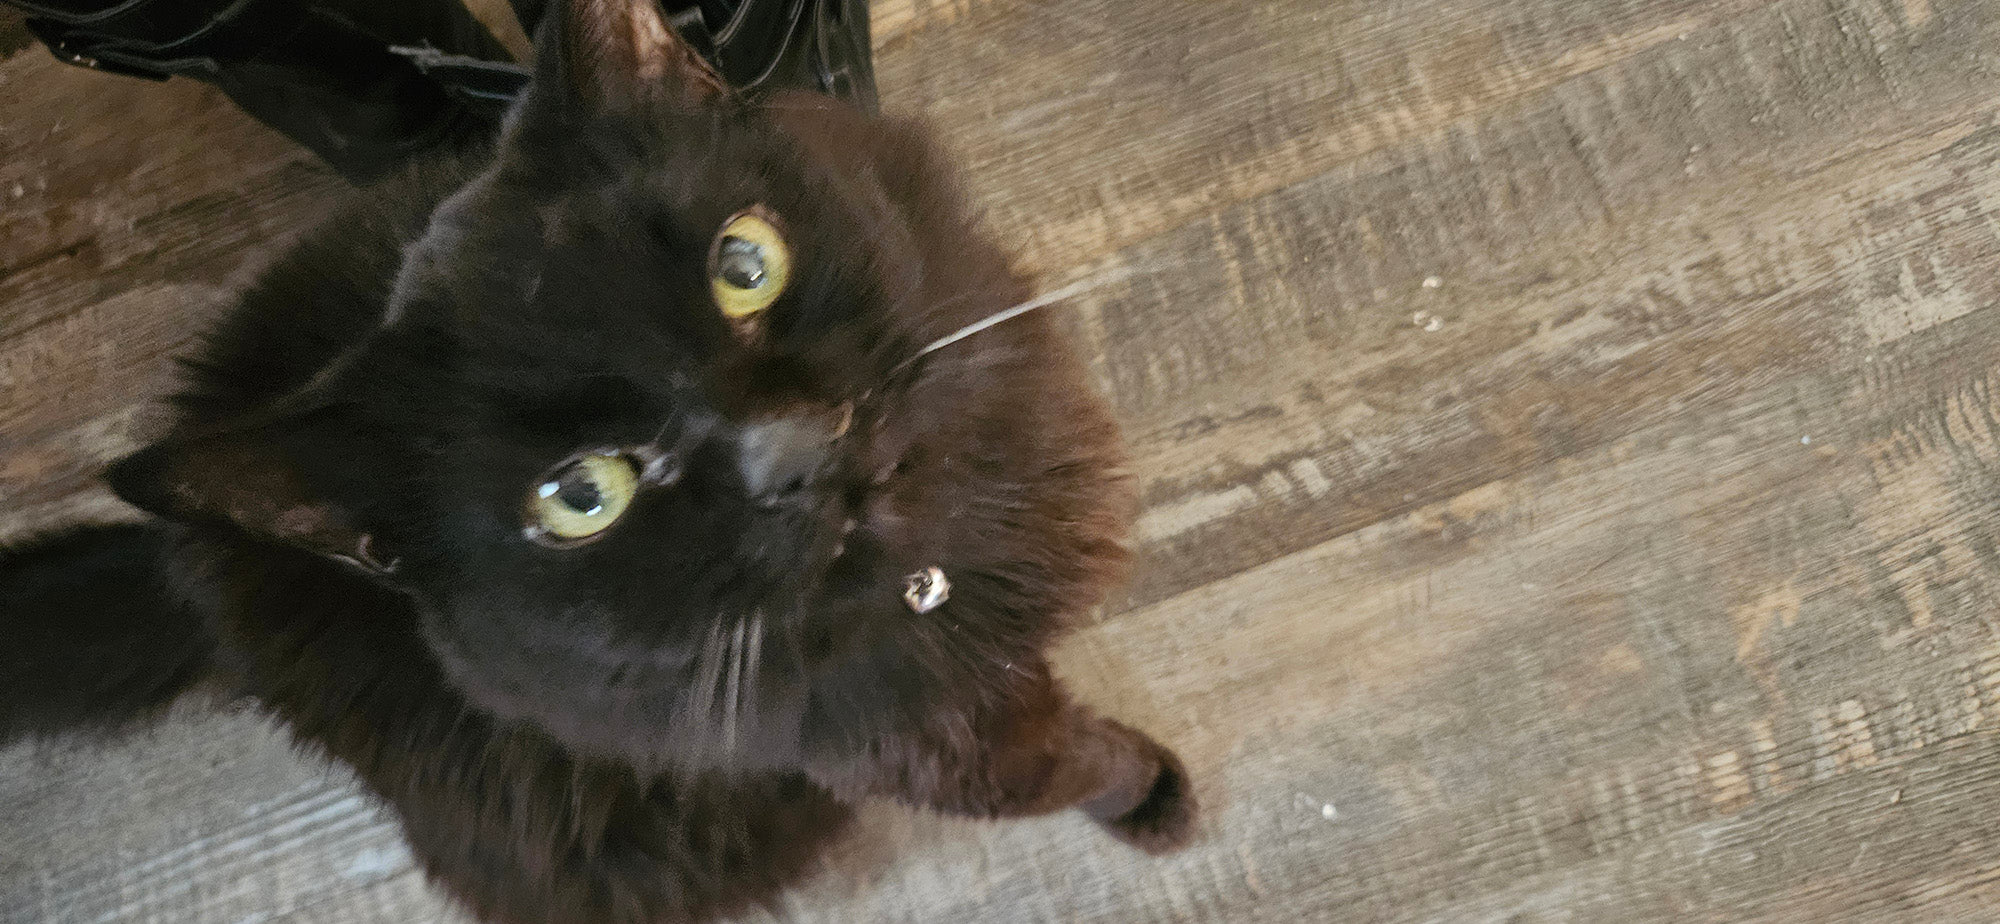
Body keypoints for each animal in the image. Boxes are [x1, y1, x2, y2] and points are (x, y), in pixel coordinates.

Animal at [0, 3, 1192, 920]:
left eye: (744, 265)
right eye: (581, 495)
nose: (787, 452)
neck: (938, 538)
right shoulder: (921, 737)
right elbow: (1063, 762)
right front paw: (1149, 799)